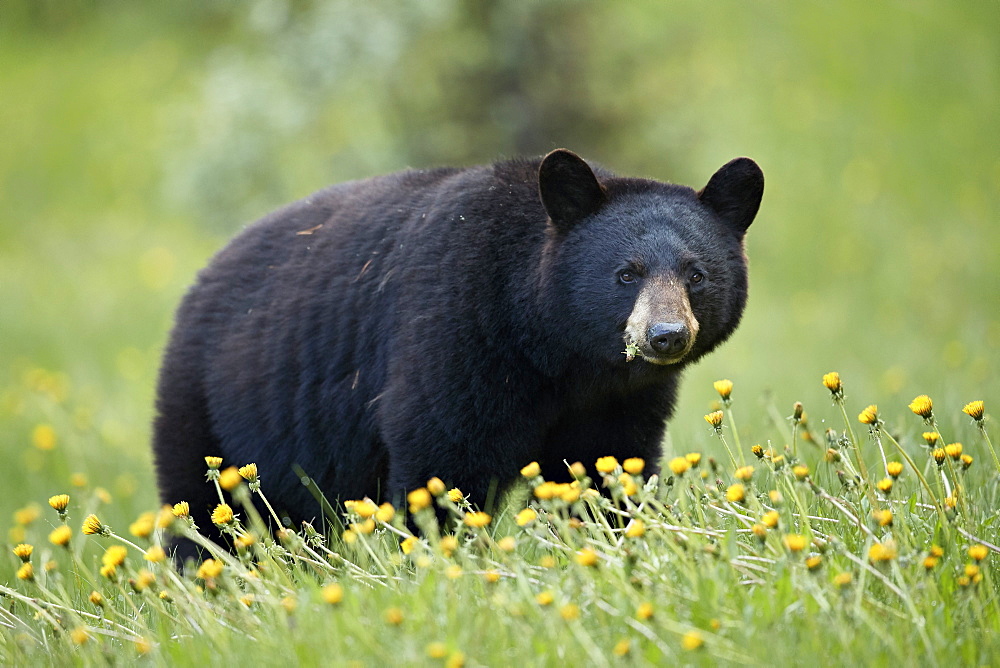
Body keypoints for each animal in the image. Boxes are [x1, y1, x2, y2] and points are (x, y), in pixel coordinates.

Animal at [150, 149, 764, 544]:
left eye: (697, 275)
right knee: (201, 510)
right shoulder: (457, 333)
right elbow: (444, 459)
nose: (666, 335)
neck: (556, 352)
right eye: (626, 273)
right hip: (209, 408)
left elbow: (606, 463)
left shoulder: (615, 400)